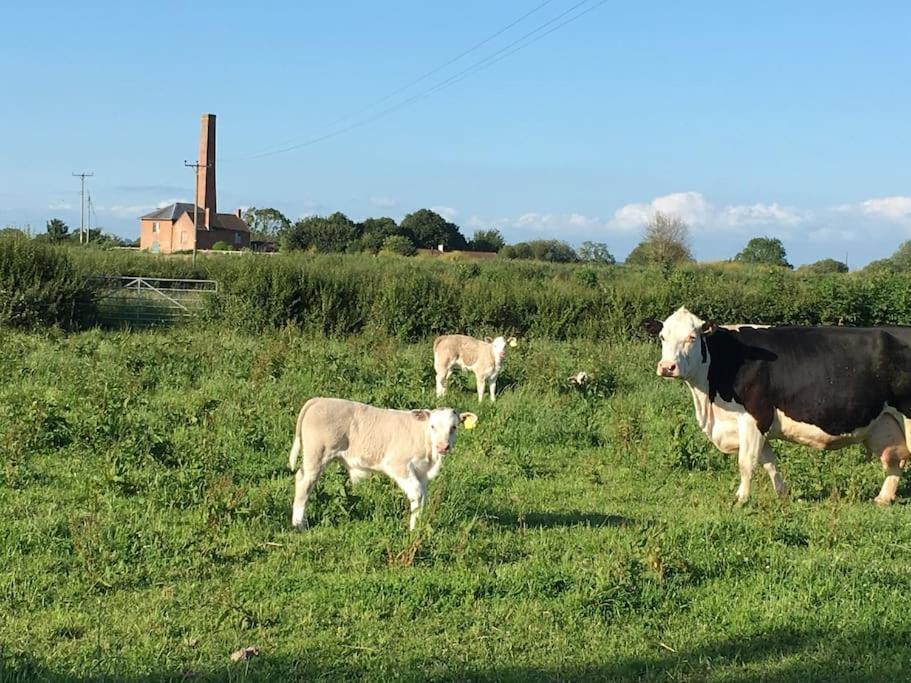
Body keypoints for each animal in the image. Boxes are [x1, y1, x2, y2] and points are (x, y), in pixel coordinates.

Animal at [290, 396, 478, 536]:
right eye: (432, 426)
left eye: (454, 427)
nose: (442, 446)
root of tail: (319, 400)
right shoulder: (398, 464)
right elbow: (416, 493)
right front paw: (412, 530)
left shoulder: (422, 472)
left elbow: (423, 497)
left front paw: (419, 526)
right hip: (316, 455)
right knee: (304, 483)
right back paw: (299, 525)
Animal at [640, 310, 911, 508]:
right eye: (662, 337)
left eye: (692, 337)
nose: (667, 367)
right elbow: (769, 462)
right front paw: (783, 493)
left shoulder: (754, 416)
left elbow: (746, 462)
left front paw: (741, 499)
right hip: (887, 424)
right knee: (894, 464)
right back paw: (882, 498)